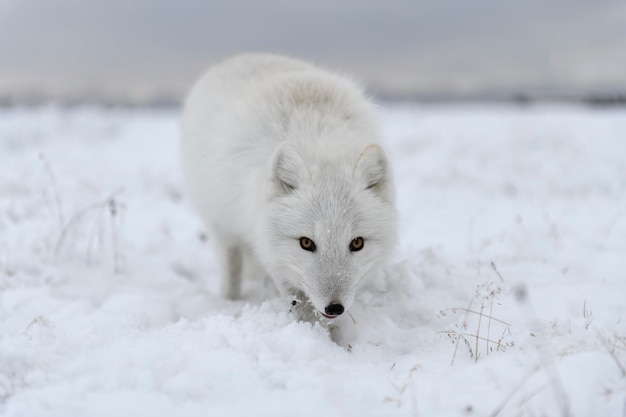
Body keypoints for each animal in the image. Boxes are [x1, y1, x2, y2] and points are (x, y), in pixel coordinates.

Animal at [180, 55, 394, 326]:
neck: (320, 142)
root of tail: (241, 56)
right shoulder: (271, 250)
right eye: (306, 243)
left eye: (357, 243)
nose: (335, 307)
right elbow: (301, 305)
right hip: (222, 225)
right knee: (231, 267)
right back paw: (230, 300)